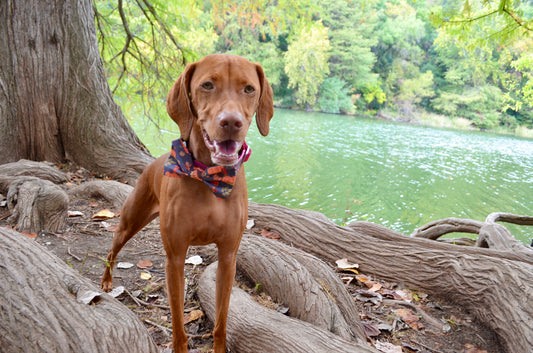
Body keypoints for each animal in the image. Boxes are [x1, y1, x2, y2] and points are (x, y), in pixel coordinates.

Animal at [101, 53, 274, 350]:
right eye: (207, 85)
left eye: (249, 89)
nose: (231, 122)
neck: (208, 175)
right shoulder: (175, 257)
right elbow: (178, 326)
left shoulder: (228, 257)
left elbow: (221, 323)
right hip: (131, 219)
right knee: (113, 248)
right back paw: (106, 281)